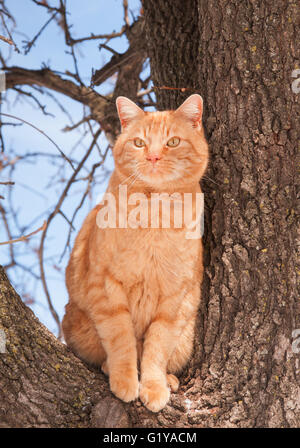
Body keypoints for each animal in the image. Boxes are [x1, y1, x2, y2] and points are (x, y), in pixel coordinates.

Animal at [62, 94, 209, 412]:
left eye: (173, 142)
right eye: (139, 143)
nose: (152, 157)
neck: (154, 214)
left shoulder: (174, 299)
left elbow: (156, 347)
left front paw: (153, 386)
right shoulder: (107, 287)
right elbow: (122, 339)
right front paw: (125, 379)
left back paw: (169, 380)